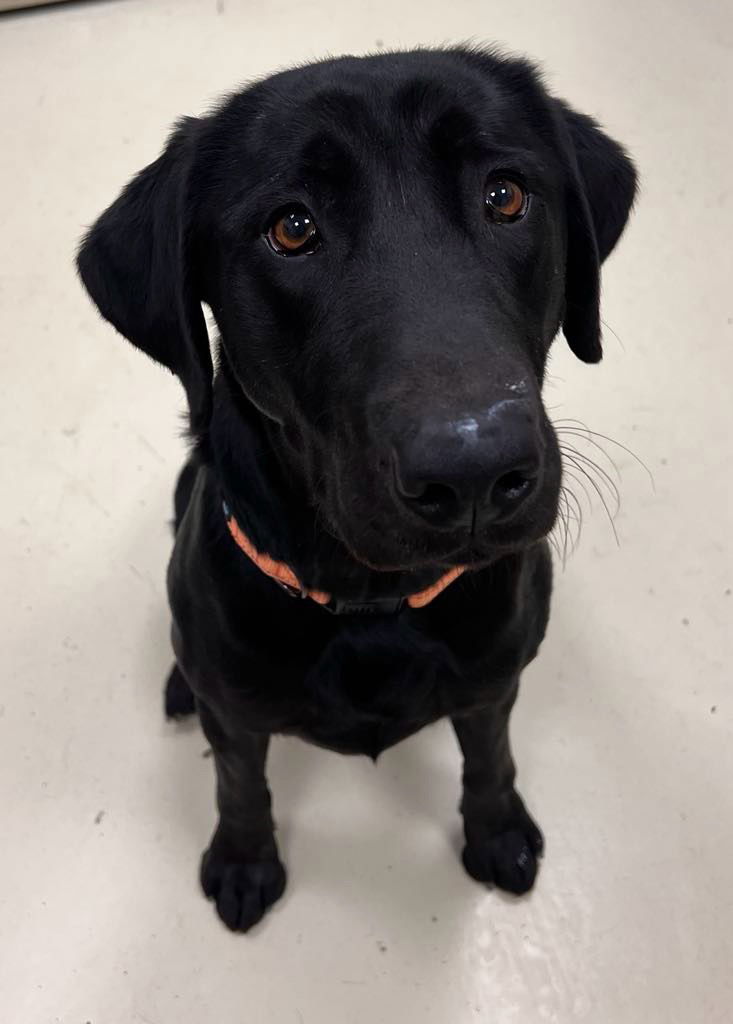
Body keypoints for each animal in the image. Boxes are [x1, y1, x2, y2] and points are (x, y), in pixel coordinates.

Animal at [75, 48, 634, 933]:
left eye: (504, 195)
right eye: (291, 228)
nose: (472, 470)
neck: (372, 605)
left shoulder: (493, 681)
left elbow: (491, 758)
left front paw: (497, 831)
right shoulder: (237, 718)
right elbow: (238, 783)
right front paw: (244, 861)